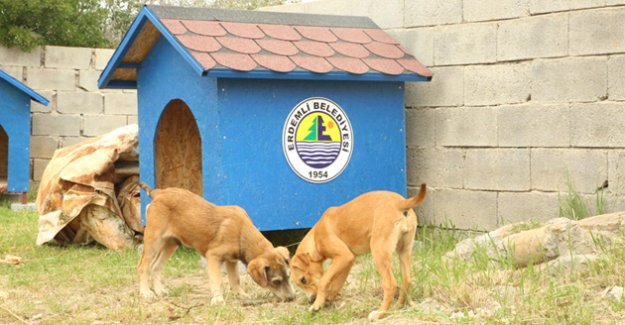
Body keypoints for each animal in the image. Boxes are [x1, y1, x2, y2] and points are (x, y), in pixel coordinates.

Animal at [136, 182, 294, 304]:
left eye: (288, 276)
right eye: (276, 282)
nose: (292, 298)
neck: (241, 233)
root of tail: (159, 192)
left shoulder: (231, 260)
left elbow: (235, 280)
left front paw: (241, 295)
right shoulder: (213, 256)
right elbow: (218, 280)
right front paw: (218, 299)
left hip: (171, 243)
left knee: (156, 267)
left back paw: (159, 291)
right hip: (153, 241)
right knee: (143, 267)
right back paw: (146, 293)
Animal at [290, 182, 426, 318]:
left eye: (303, 280)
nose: (311, 299)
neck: (315, 238)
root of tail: (400, 203)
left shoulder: (344, 256)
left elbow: (324, 281)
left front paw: (317, 305)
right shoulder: (347, 262)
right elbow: (337, 284)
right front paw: (327, 300)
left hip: (378, 252)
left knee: (390, 285)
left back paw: (380, 313)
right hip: (404, 251)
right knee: (407, 281)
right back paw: (398, 306)